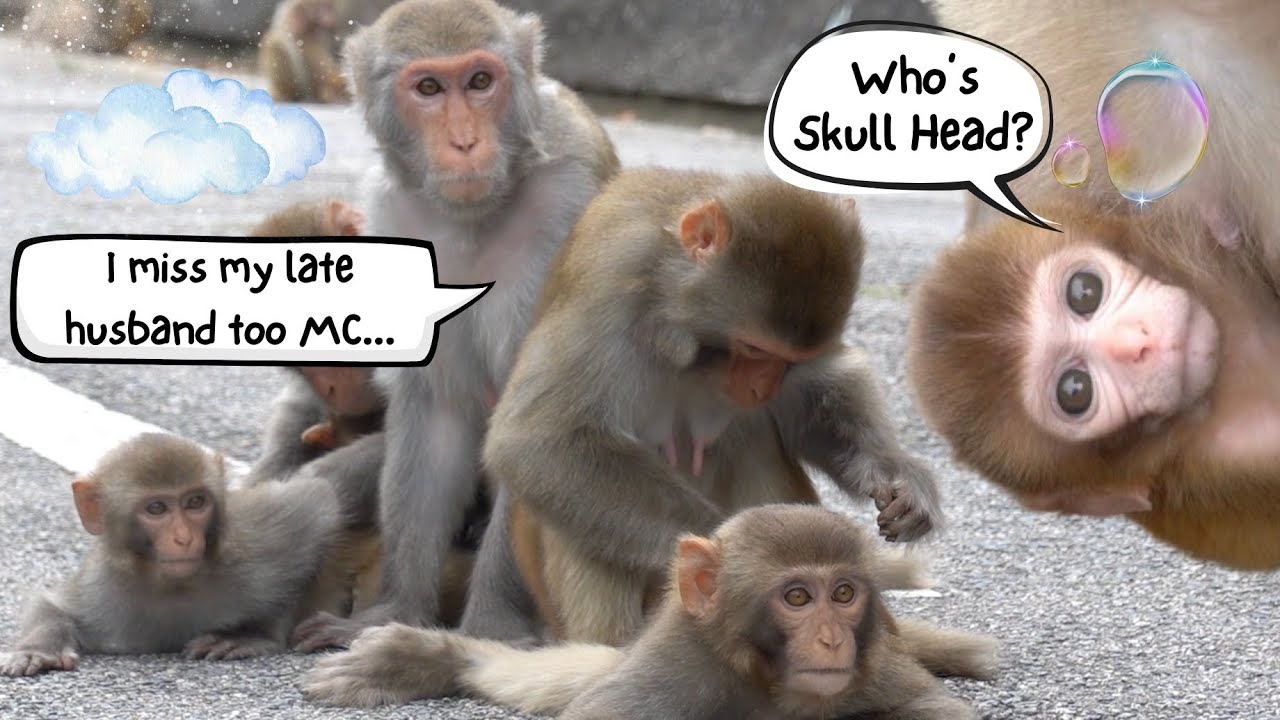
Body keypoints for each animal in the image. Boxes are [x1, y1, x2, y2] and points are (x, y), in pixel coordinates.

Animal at [0, 432, 380, 677]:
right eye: (156, 508)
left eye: (195, 502)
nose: (183, 538)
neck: (173, 585)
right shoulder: (103, 584)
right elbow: (54, 606)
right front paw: (37, 649)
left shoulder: (255, 543)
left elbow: (321, 499)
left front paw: (247, 633)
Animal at [288, 0, 620, 651]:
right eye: (428, 89)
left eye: (480, 81)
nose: (464, 141)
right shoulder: (393, 214)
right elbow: (435, 410)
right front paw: (393, 612)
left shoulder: (570, 204)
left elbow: (534, 425)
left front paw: (491, 631)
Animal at [302, 504, 996, 719]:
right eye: (798, 597)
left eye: (844, 595)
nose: (831, 640)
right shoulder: (676, 659)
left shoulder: (873, 662)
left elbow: (932, 709)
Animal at [483, 168, 942, 646]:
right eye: (754, 348)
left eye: (792, 360)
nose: (761, 388)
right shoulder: (611, 285)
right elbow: (538, 439)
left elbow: (820, 389)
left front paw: (898, 475)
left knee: (753, 436)